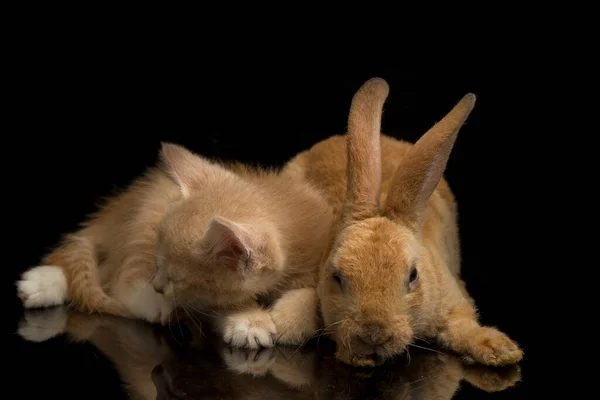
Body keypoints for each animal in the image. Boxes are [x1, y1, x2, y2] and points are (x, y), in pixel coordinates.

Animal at [16, 143, 332, 346]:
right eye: (162, 269)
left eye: (175, 278)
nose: (157, 286)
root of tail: (119, 207)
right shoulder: (192, 297)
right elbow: (213, 304)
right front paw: (249, 320)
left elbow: (313, 293)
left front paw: (291, 319)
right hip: (146, 219)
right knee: (118, 280)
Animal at [278, 78, 524, 368]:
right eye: (336, 277)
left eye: (413, 275)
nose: (373, 334)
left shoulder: (453, 297)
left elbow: (462, 325)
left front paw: (500, 350)